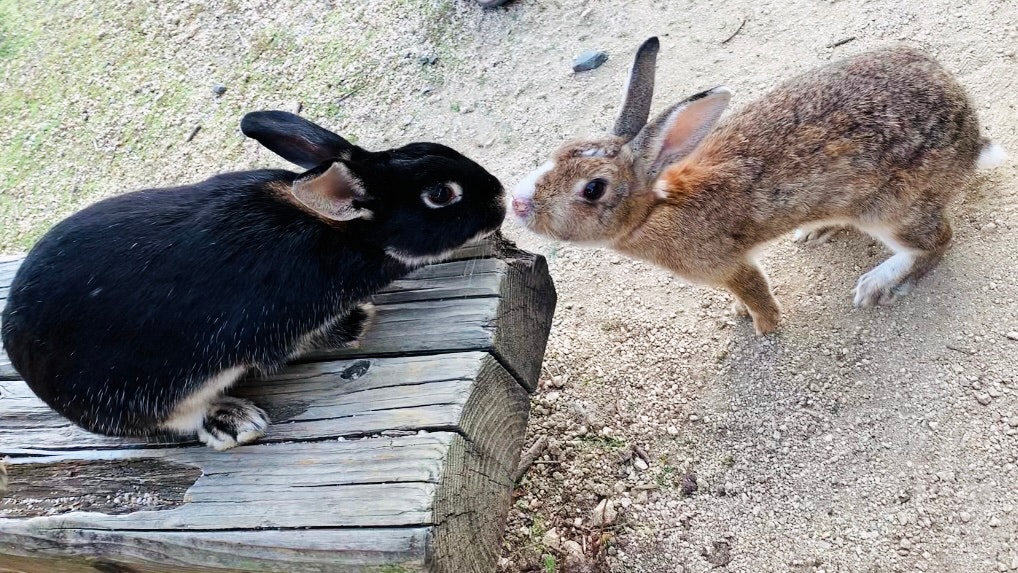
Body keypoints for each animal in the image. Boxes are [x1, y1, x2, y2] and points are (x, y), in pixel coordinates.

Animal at [1, 110, 506, 450]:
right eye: (440, 195)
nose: (501, 199)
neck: (334, 231)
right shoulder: (273, 332)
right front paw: (349, 327)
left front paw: (355, 320)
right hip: (144, 394)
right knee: (169, 421)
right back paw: (232, 420)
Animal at [510, 37, 1006, 335]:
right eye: (561, 149)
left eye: (593, 189)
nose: (517, 203)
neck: (657, 208)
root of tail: (971, 141)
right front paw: (739, 314)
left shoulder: (729, 265)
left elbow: (755, 290)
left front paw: (764, 326)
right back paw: (819, 230)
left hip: (893, 209)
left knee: (936, 242)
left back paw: (878, 285)